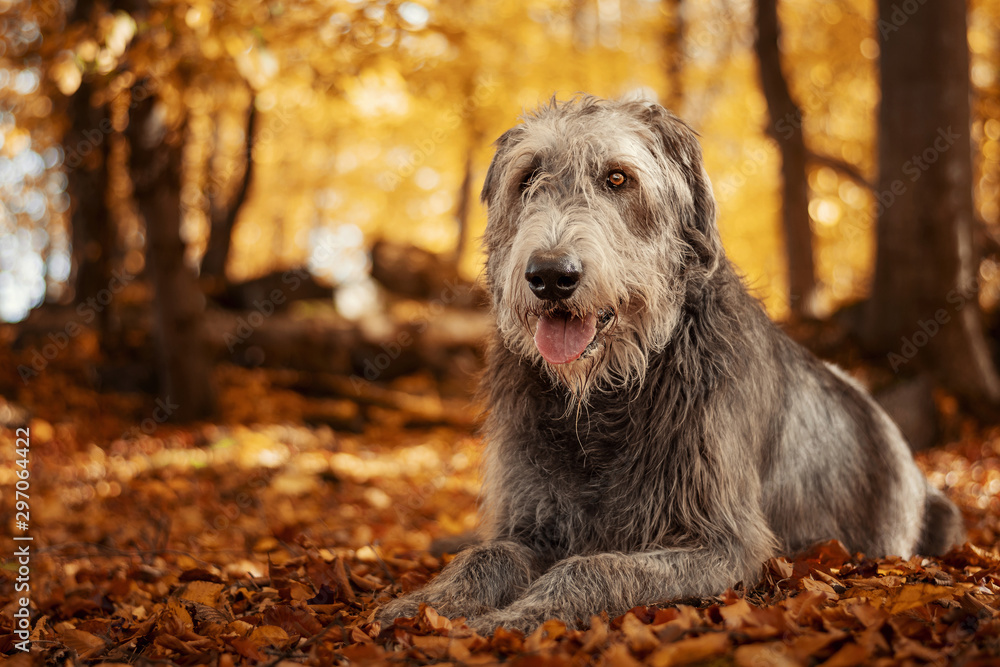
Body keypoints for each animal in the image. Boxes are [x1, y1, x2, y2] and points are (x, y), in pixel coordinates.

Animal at [374, 96, 960, 636]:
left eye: (617, 178)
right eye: (528, 178)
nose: (550, 275)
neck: (606, 396)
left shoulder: (724, 543)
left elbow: (595, 567)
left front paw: (521, 614)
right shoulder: (530, 515)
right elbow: (487, 553)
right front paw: (424, 605)